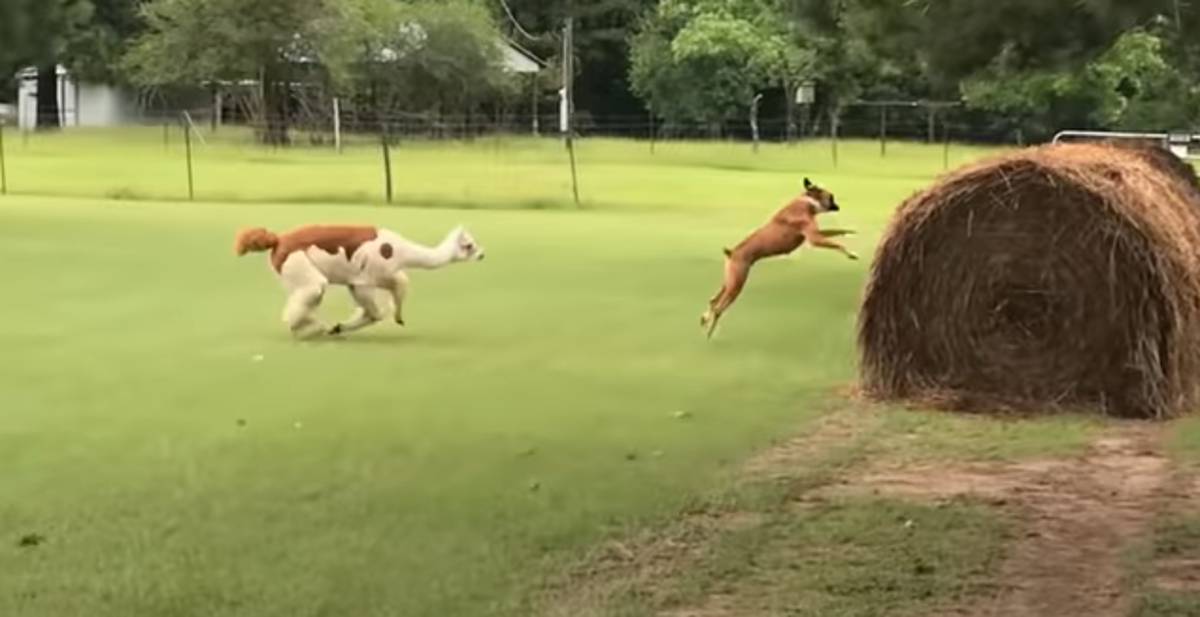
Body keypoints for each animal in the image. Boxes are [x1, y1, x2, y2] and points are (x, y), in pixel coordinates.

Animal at [700, 175, 859, 338]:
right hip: (736, 285)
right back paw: (710, 332)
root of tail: (732, 252)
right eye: (831, 196)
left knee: (713, 301)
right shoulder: (814, 239)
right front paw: (851, 254)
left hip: (729, 281)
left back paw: (704, 320)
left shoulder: (815, 236)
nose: (837, 206)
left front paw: (850, 232)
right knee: (719, 308)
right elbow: (838, 245)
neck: (806, 201)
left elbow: (837, 232)